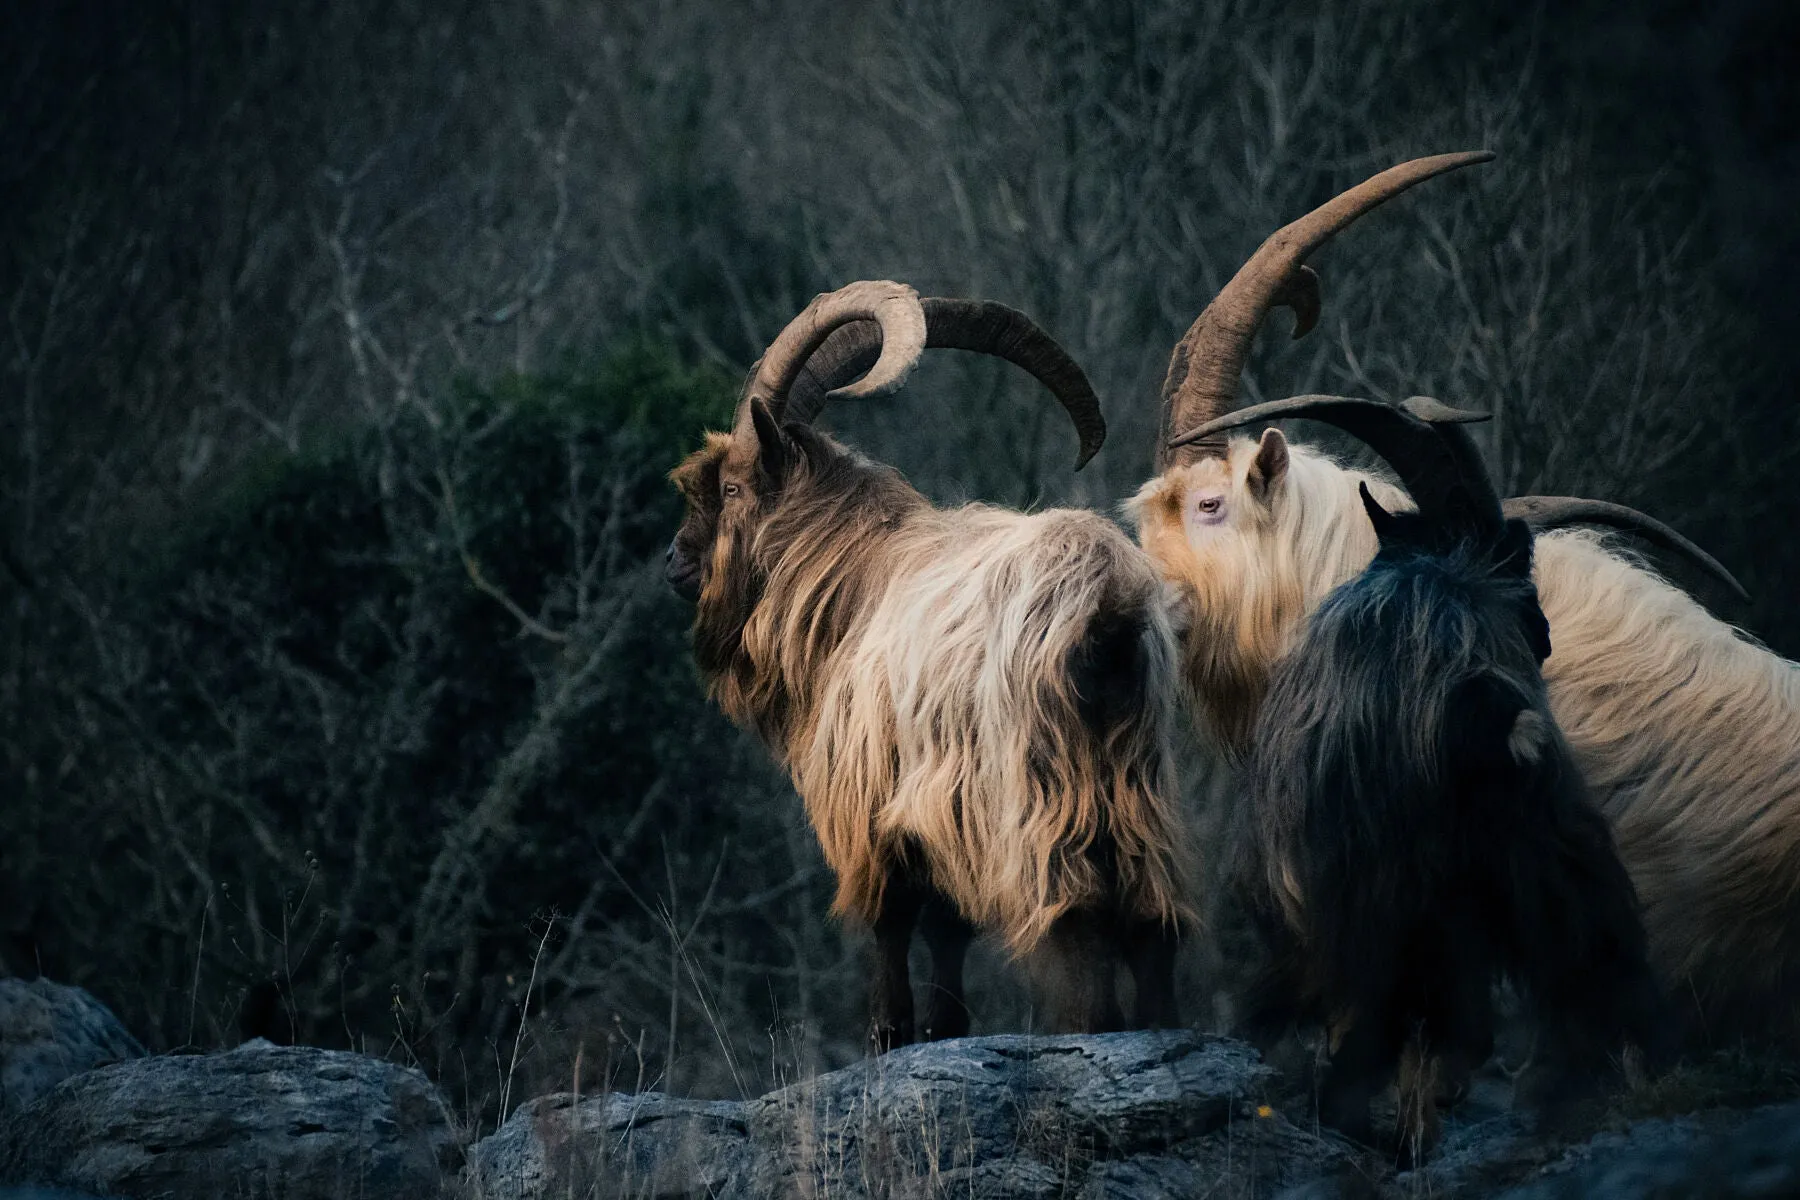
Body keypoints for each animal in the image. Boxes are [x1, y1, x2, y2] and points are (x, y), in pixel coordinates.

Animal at [666, 282, 1196, 1045]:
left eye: (734, 489)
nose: (674, 560)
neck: (855, 576)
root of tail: (1107, 605)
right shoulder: (937, 816)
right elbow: (948, 932)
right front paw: (947, 1028)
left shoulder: (874, 807)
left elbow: (890, 924)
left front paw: (888, 1034)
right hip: (1135, 793)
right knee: (1155, 931)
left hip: (1039, 800)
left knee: (1073, 936)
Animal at [1194, 394, 1671, 1158]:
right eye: (1516, 571)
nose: (1542, 635)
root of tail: (1475, 709)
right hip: (1532, 860)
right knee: (1599, 971)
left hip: (1370, 909)